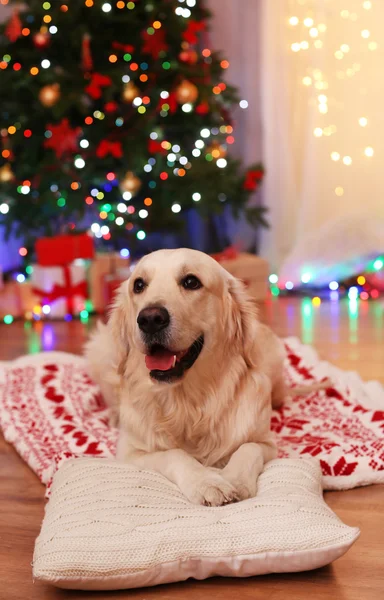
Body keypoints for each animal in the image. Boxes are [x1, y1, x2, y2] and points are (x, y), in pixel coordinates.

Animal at [85, 248, 286, 506]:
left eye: (191, 282)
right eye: (138, 285)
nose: (150, 319)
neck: (188, 403)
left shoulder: (267, 443)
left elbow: (247, 449)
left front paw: (235, 480)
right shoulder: (131, 452)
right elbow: (174, 454)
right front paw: (207, 482)